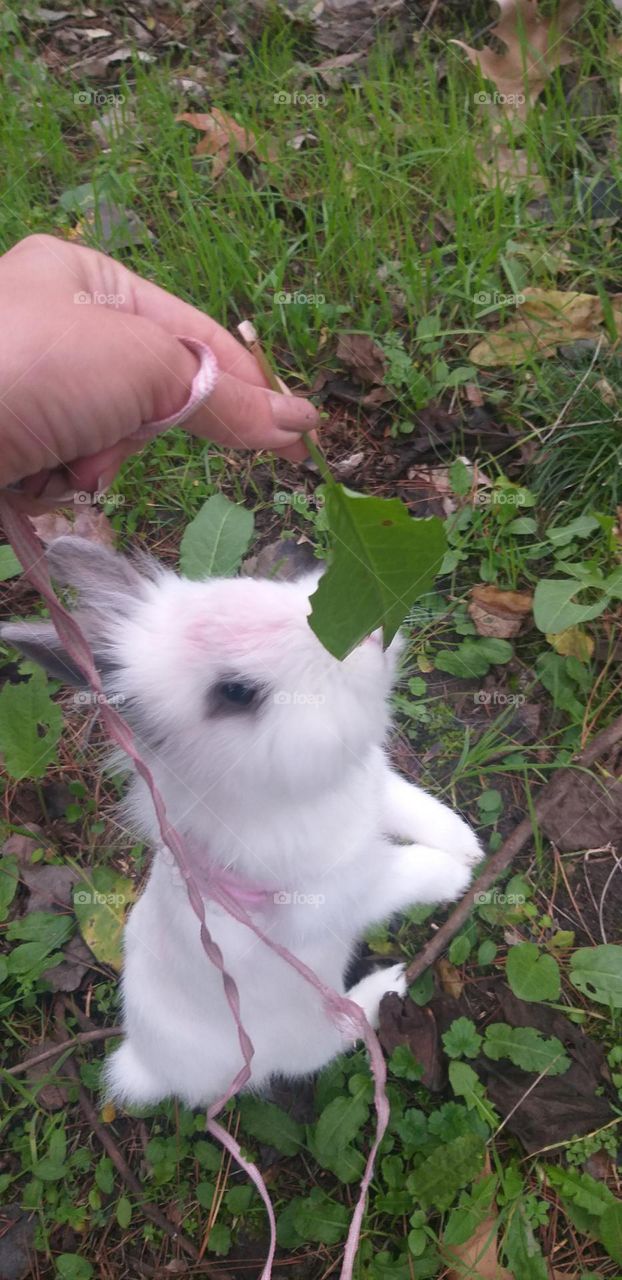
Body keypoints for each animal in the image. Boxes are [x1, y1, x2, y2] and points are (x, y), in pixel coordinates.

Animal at [2, 536, 484, 1108]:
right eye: (236, 693)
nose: (366, 633)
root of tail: (150, 1065)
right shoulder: (337, 892)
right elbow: (402, 875)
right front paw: (455, 876)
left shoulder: (375, 789)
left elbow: (411, 805)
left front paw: (468, 843)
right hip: (305, 1033)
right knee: (339, 1035)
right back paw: (389, 983)